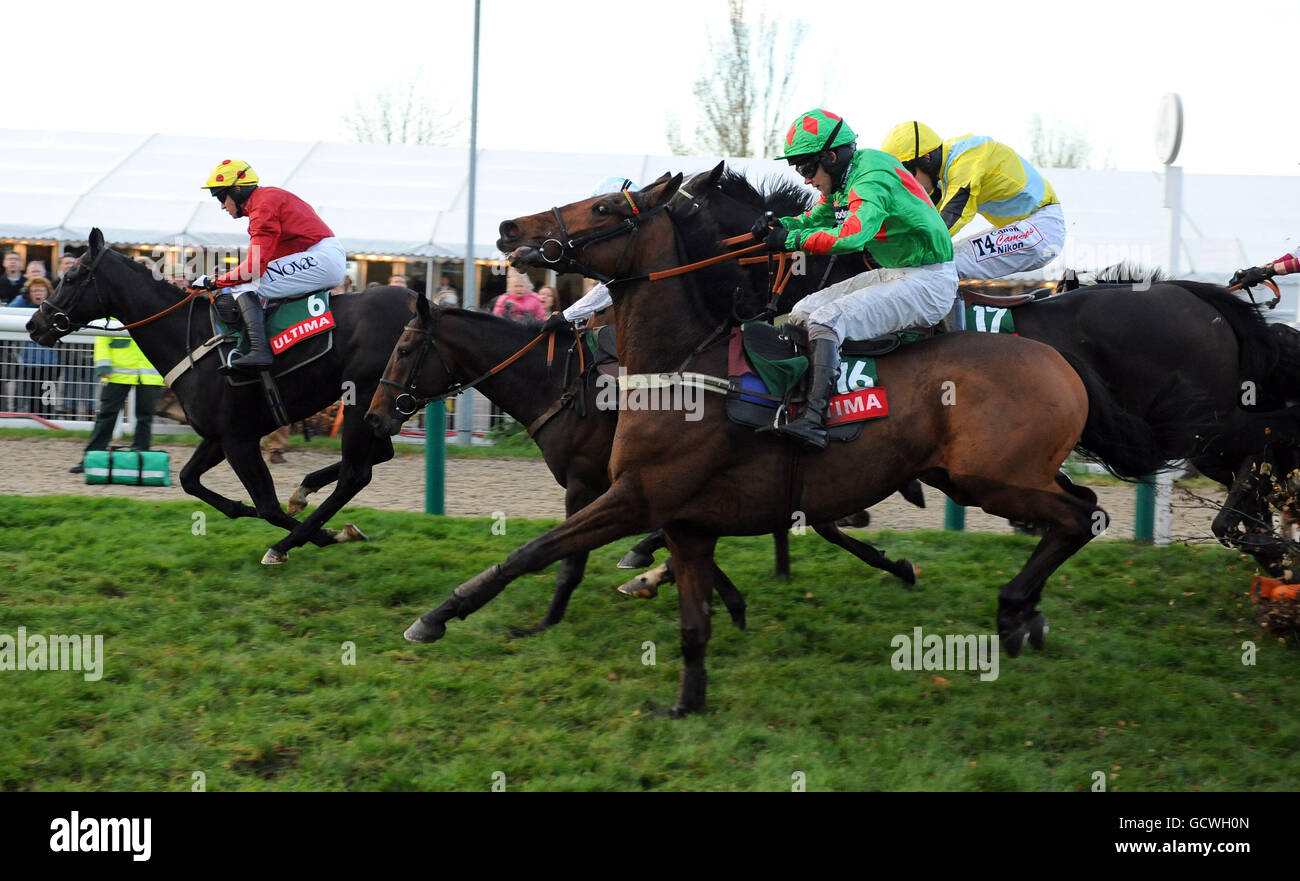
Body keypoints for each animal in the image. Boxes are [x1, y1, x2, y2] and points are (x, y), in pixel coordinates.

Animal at [30, 227, 405, 566]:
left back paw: (295, 534)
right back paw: (304, 491)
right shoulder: (218, 436)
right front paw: (244, 509)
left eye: (71, 276)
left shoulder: (239, 439)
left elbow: (268, 506)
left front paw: (318, 535)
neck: (193, 339)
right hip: (377, 408)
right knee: (379, 455)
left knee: (356, 474)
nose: (35, 324)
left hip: (362, 398)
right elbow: (189, 480)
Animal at [377, 167, 1190, 717]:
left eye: (606, 206)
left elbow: (537, 552)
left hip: (993, 478)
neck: (683, 363)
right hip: (987, 475)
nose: (510, 230)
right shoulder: (683, 517)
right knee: (1077, 507)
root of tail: (1056, 353)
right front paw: (688, 690)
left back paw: (1015, 606)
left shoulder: (627, 493)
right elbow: (691, 613)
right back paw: (1024, 613)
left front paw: (442, 616)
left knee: (1080, 515)